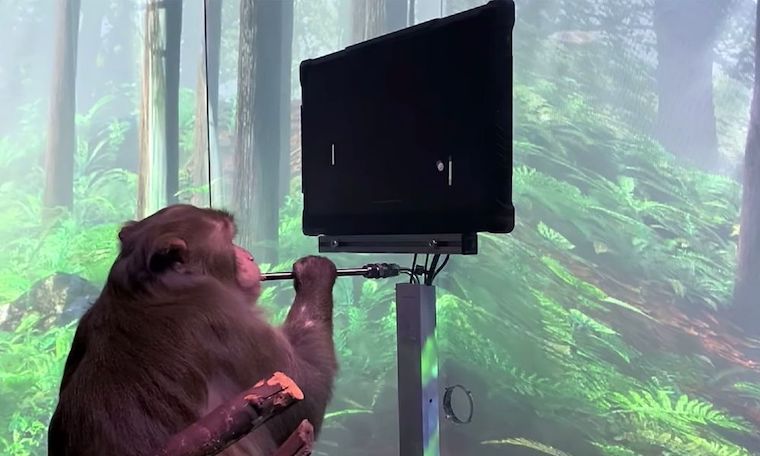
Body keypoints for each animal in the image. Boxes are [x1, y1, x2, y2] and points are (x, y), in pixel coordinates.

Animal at [47, 204, 338, 456]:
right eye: (230, 239)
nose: (249, 256)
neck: (152, 286)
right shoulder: (223, 315)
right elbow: (305, 395)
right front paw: (314, 274)